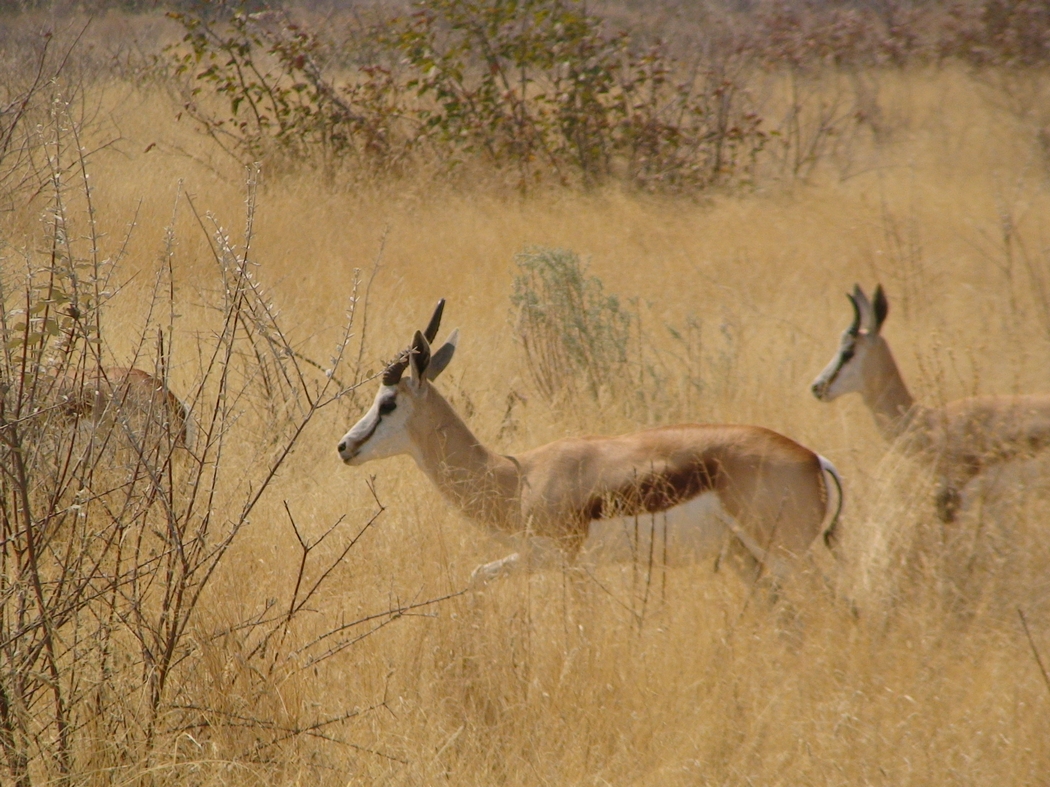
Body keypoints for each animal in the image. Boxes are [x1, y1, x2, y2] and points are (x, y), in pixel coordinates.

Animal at [336, 300, 844, 587]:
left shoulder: (568, 562)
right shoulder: (535, 558)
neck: (515, 478)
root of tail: (814, 459)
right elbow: (478, 577)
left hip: (784, 557)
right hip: (744, 557)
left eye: (387, 402)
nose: (344, 446)